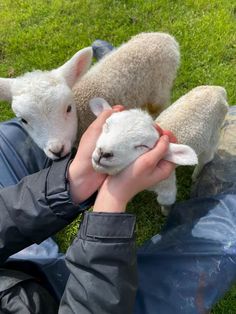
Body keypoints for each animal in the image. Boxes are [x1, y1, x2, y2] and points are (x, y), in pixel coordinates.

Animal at [89, 86, 229, 213]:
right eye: (106, 125)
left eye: (143, 146)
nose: (104, 152)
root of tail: (219, 89)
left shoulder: (166, 183)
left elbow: (165, 201)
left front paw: (166, 213)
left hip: (214, 133)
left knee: (206, 158)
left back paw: (195, 176)